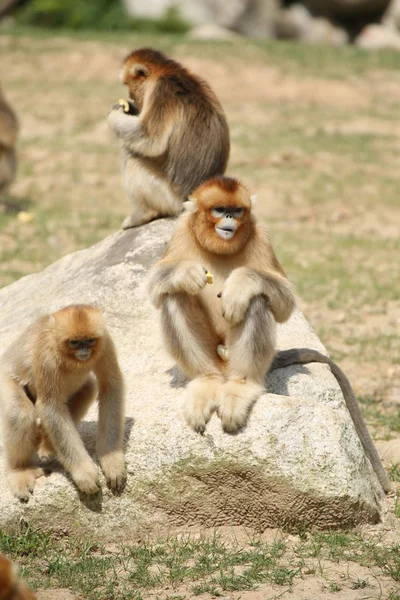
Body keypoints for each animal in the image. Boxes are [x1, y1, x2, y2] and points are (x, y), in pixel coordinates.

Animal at [0, 304, 126, 502]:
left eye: (90, 340)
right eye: (74, 342)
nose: (83, 350)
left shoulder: (104, 341)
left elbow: (111, 386)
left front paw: (112, 460)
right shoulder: (46, 355)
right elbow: (50, 406)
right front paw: (84, 473)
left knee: (89, 388)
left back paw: (46, 444)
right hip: (5, 378)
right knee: (18, 411)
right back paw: (20, 470)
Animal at [108, 47, 230, 229]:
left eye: (129, 84)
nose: (130, 94)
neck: (169, 70)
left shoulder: (161, 90)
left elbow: (149, 139)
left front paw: (115, 114)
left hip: (170, 199)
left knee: (131, 155)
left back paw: (145, 214)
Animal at [149, 176, 390, 494]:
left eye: (238, 211)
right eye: (219, 209)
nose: (229, 220)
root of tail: (224, 368)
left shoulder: (260, 234)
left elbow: (283, 302)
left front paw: (240, 284)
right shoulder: (180, 232)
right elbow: (155, 288)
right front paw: (188, 273)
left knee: (257, 301)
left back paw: (241, 386)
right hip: (214, 354)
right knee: (174, 295)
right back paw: (207, 382)